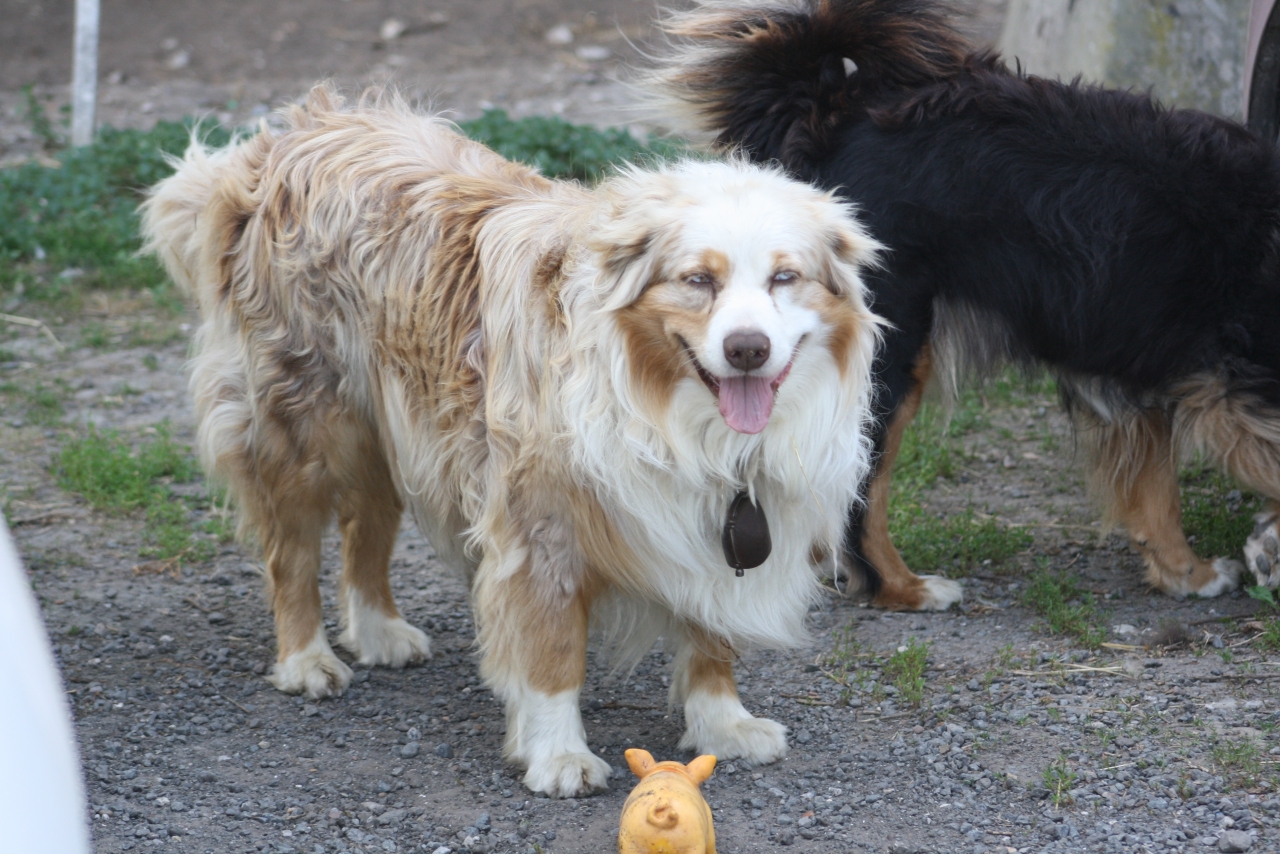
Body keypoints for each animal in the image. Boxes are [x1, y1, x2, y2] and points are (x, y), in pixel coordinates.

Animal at [141, 85, 884, 796]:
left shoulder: (718, 521)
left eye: (785, 277)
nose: (747, 349)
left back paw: (379, 629)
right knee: (292, 550)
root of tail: (289, 133)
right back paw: (306, 658)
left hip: (398, 422)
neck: (675, 416)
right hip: (307, 419)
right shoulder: (540, 525)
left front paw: (723, 723)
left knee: (367, 524)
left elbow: (711, 634)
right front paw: (558, 755)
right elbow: (552, 654)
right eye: (698, 279)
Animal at [647, 0, 1280, 609]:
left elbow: (1155, 489)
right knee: (858, 489)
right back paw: (904, 588)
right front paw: (1262, 548)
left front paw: (1191, 575)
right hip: (888, 351)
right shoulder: (1244, 378)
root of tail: (833, 110)